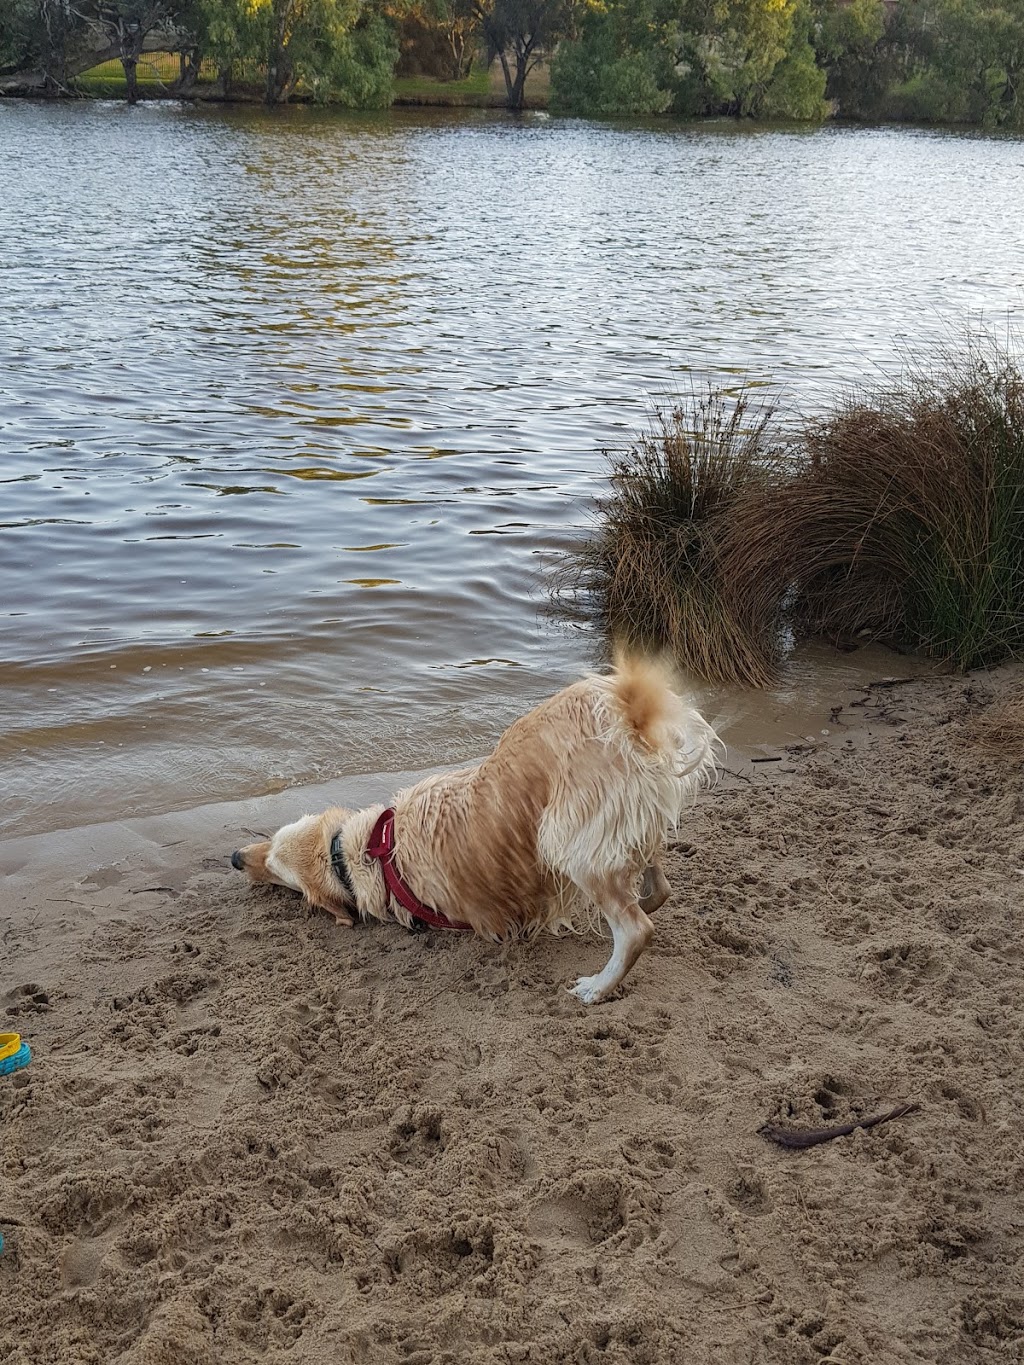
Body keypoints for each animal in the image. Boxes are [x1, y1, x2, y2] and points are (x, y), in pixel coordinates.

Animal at [232, 657, 715, 1004]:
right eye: (272, 840)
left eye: (276, 870)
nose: (236, 857)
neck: (373, 848)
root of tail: (632, 716)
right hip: (623, 825)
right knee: (657, 885)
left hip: (569, 839)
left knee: (635, 930)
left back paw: (599, 986)